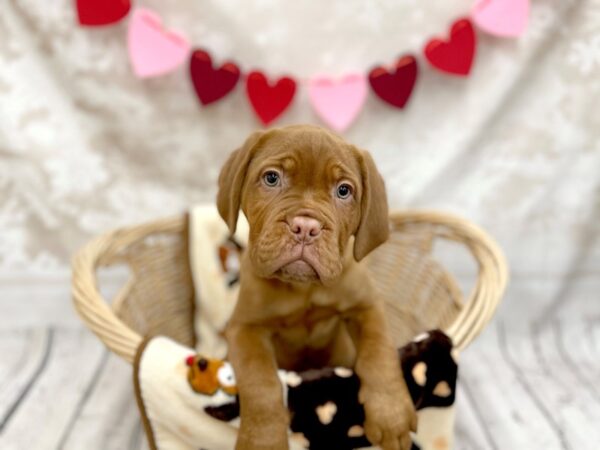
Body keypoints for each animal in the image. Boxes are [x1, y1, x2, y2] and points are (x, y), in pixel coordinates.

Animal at [217, 124, 418, 450]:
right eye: (272, 178)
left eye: (343, 191)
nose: (306, 227)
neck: (303, 288)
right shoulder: (245, 329)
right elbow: (261, 383)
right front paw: (263, 440)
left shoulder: (366, 306)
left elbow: (379, 352)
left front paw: (391, 413)